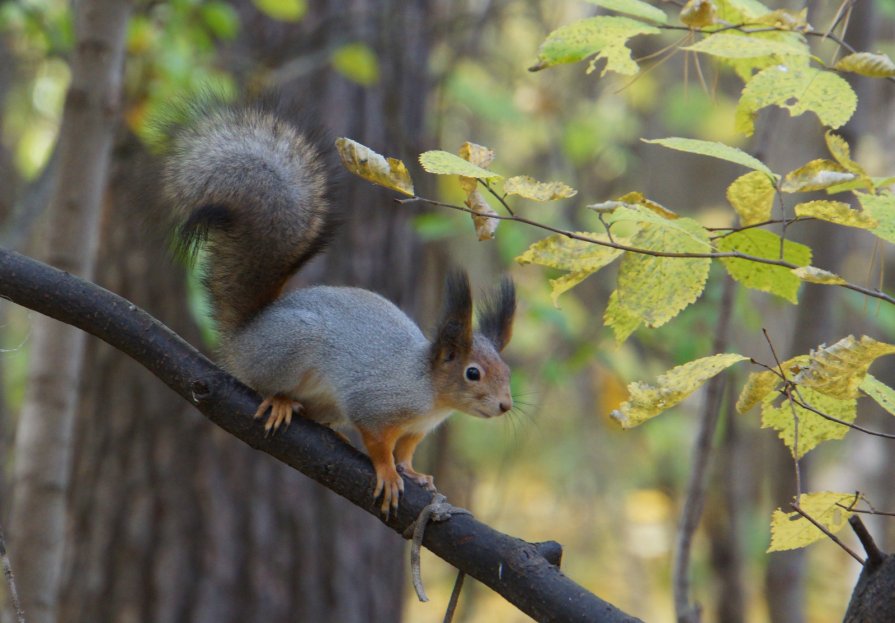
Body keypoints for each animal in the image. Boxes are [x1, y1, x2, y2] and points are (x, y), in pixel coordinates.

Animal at [159, 105, 512, 516]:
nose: (506, 406)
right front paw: (388, 473)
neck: (430, 392)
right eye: (473, 373)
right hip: (289, 346)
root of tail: (242, 336)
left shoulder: (415, 430)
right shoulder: (375, 406)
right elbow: (379, 444)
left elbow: (406, 451)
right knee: (263, 383)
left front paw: (414, 473)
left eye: (506, 371)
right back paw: (280, 401)